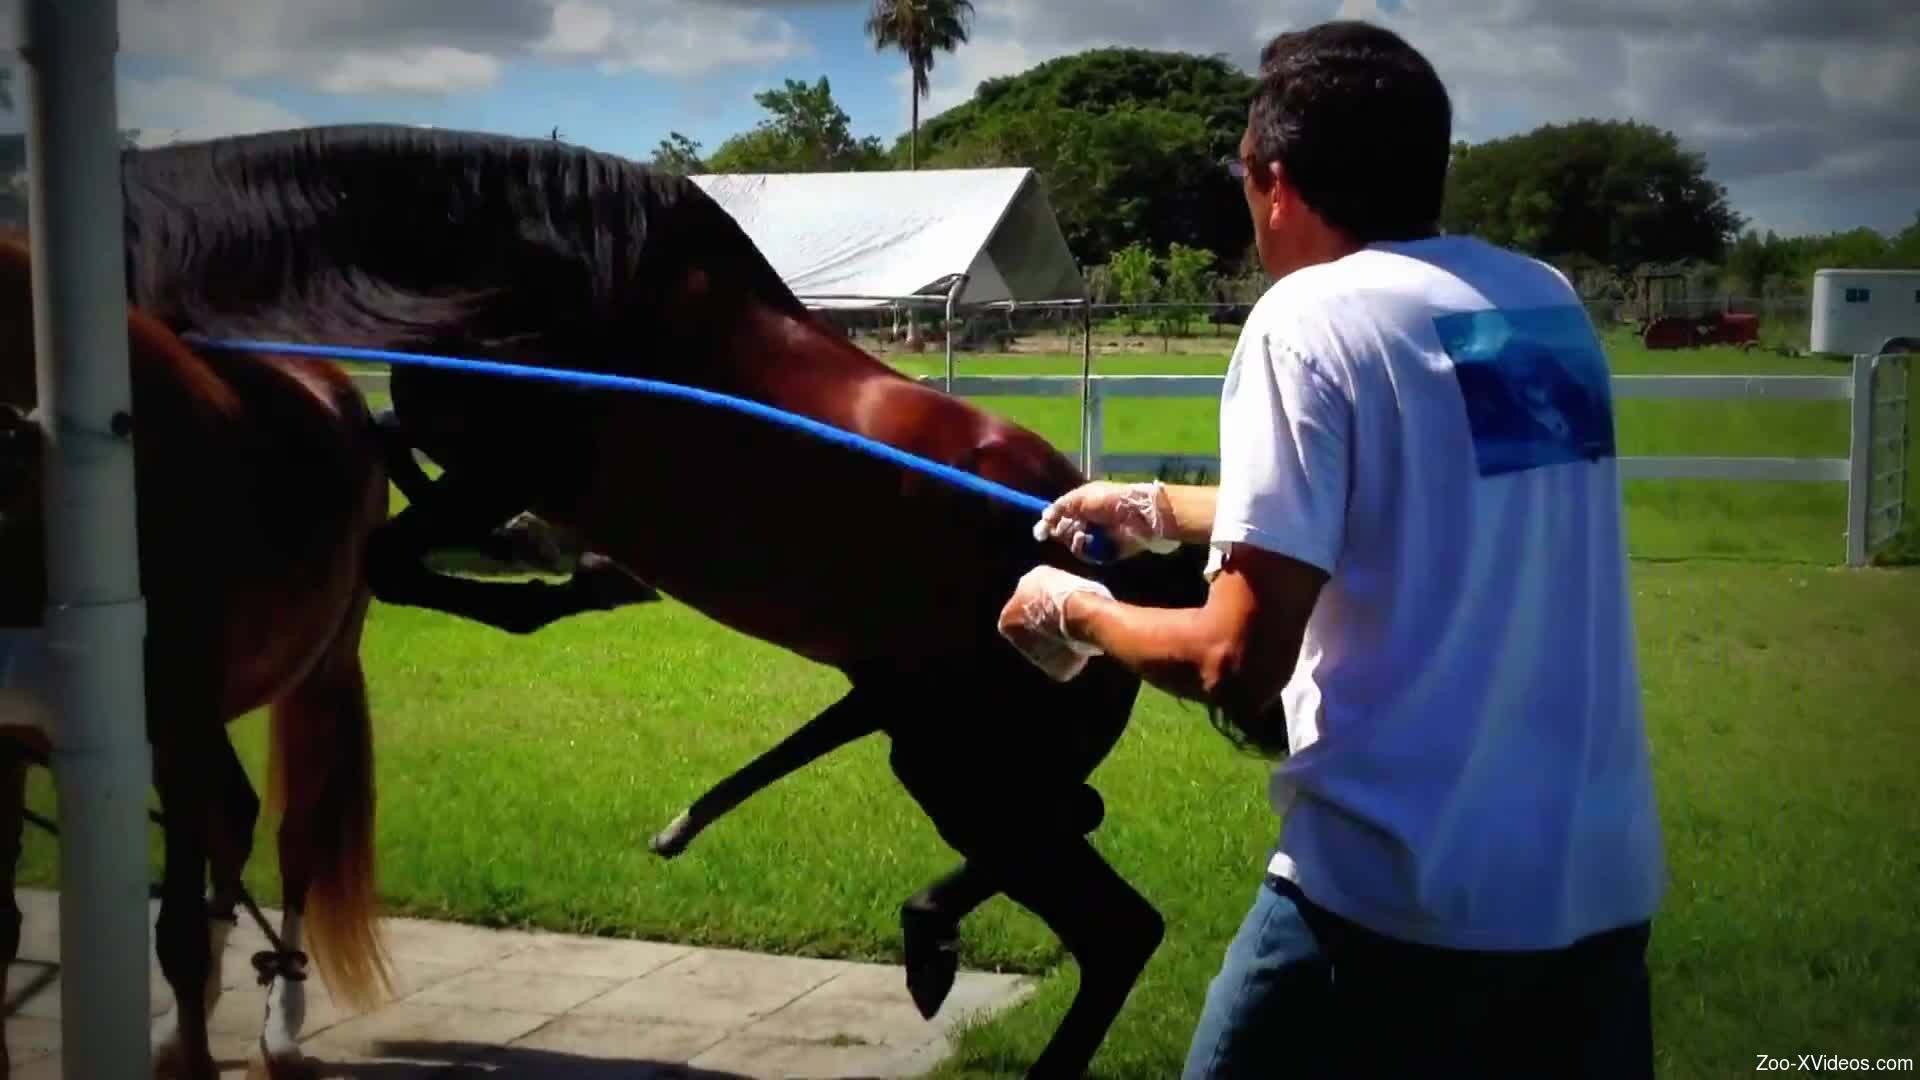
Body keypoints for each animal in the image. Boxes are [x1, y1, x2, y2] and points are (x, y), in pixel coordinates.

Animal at [0, 232, 393, 1079]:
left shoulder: (173, 724)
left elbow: (175, 931)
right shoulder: (8, 741)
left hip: (317, 677)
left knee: (290, 838)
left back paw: (279, 1027)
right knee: (233, 815)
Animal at [118, 124, 1215, 1078]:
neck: (540, 277)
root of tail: (1123, 574)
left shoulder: (504, 466)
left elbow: (399, 554)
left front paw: (577, 581)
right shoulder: (469, 459)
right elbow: (399, 469)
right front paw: (563, 567)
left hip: (969, 769)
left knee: (1116, 920)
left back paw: (936, 947)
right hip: (948, 755)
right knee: (1090, 850)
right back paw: (927, 939)